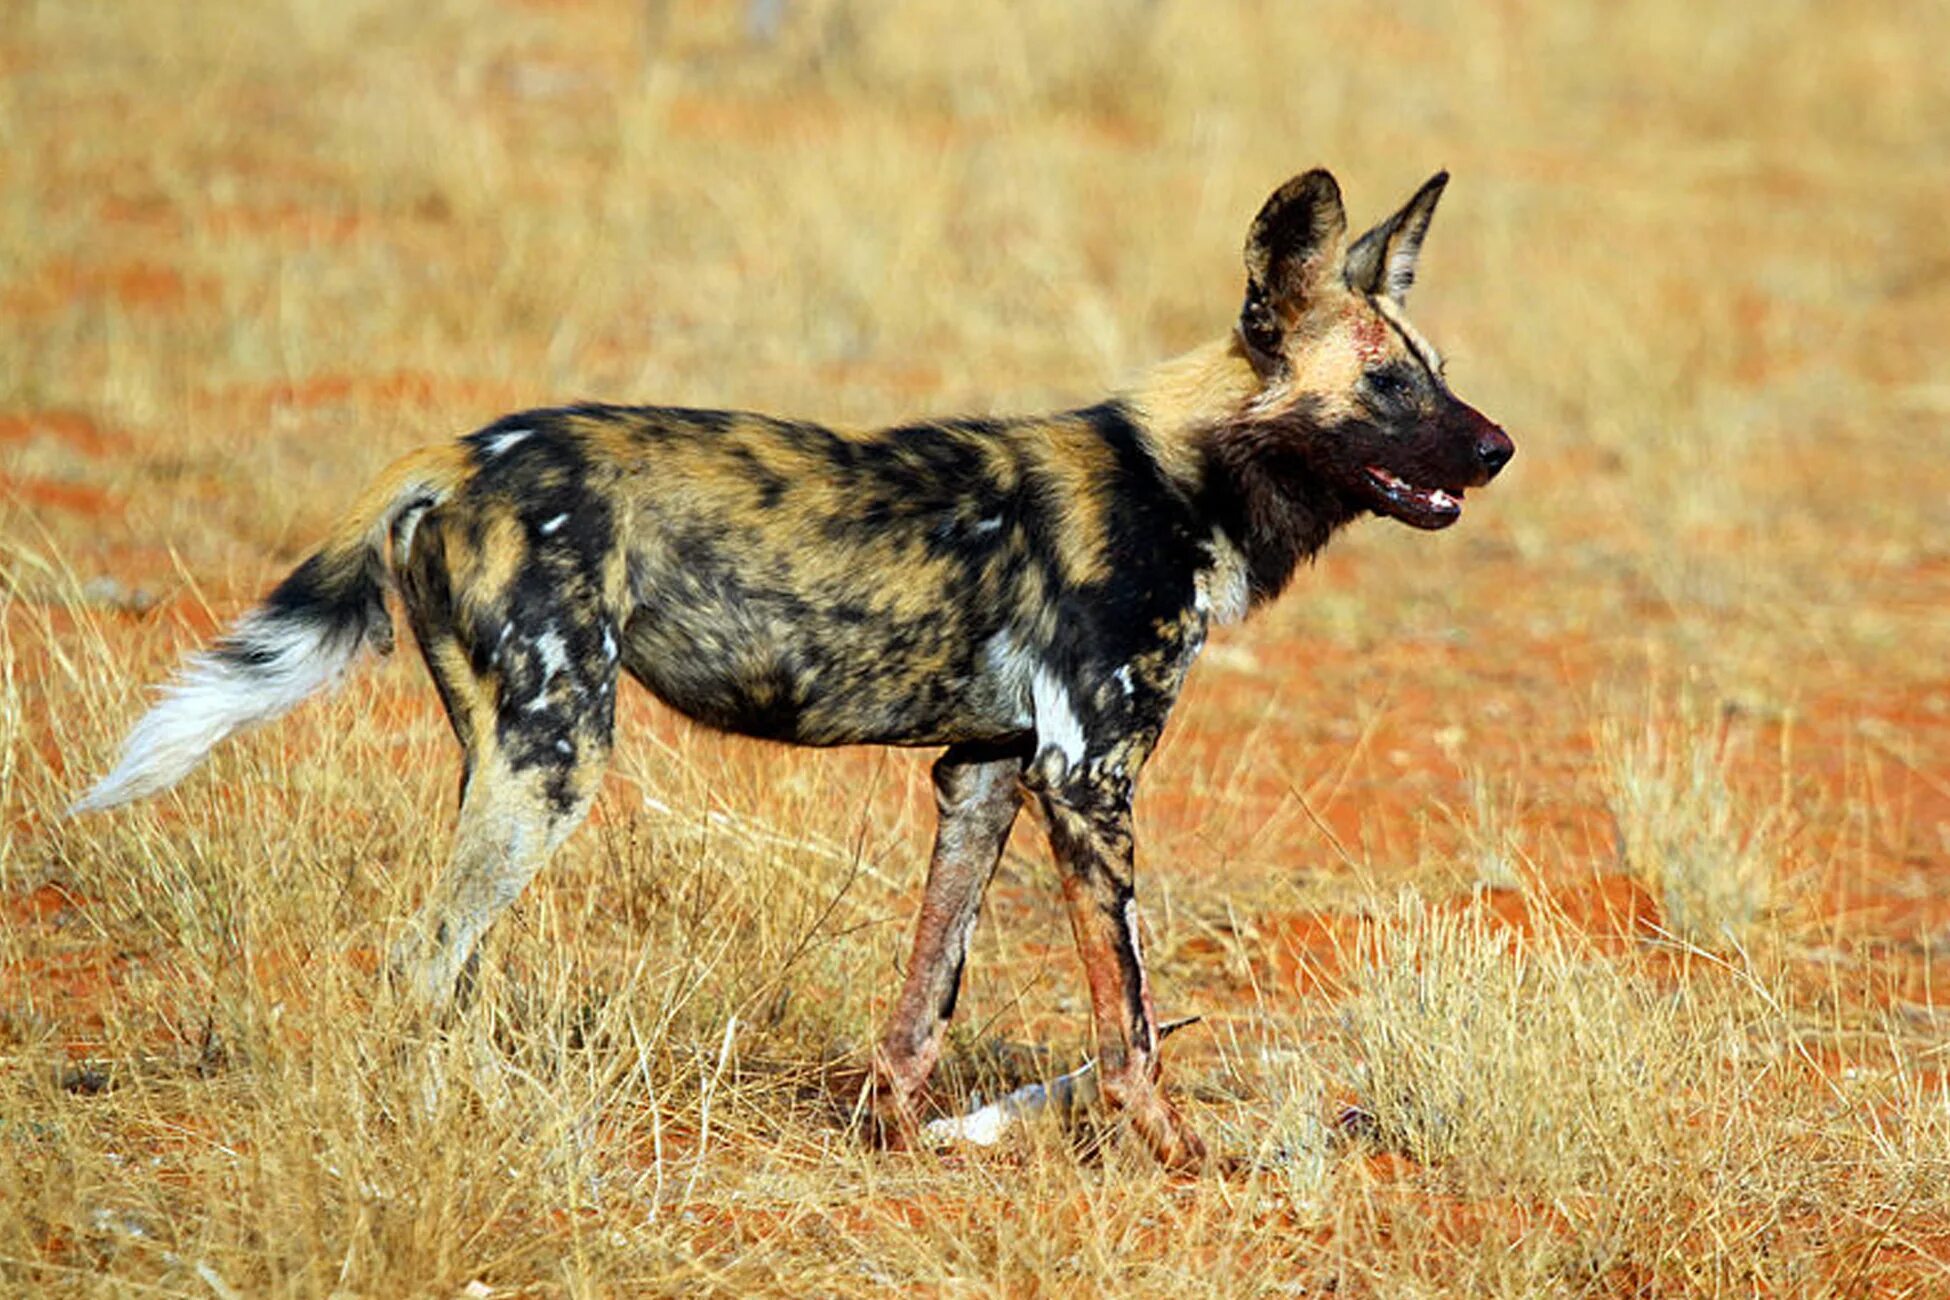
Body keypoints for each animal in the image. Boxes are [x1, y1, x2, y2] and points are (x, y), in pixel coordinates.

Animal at [76, 165, 1505, 1169]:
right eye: (1388, 386)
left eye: (1438, 372)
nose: (1497, 448)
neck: (1184, 477)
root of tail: (462, 449)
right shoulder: (1087, 777)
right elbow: (1133, 1027)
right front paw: (1181, 1156)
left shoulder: (988, 774)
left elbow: (924, 999)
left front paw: (891, 1139)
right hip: (559, 757)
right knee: (420, 961)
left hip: (503, 752)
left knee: (448, 962)